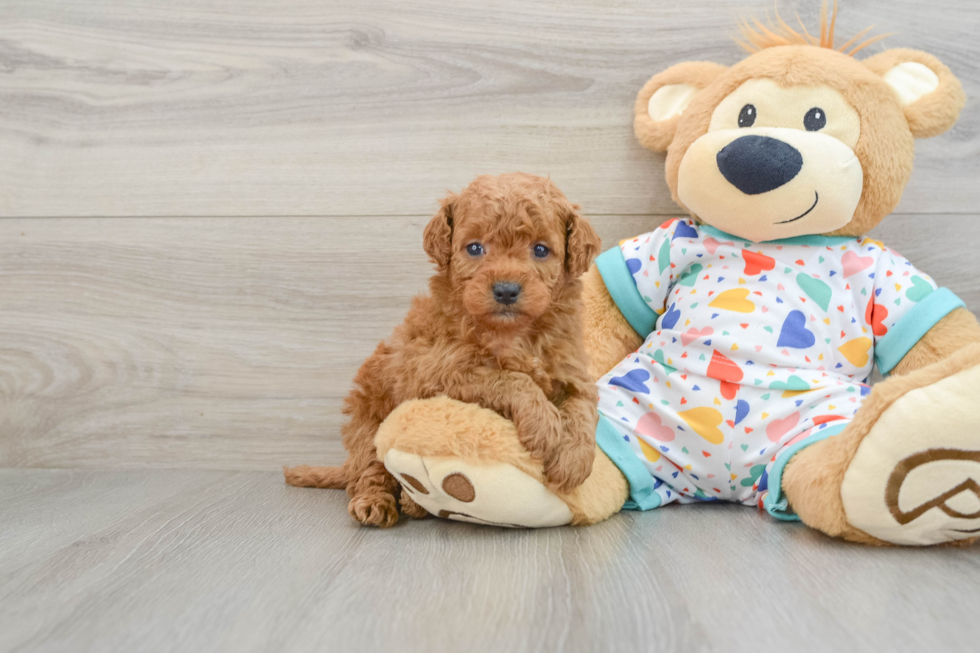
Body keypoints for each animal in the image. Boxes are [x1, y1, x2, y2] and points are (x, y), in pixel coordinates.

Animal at [284, 172, 600, 524]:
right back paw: (376, 503)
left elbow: (583, 409)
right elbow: (510, 379)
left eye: (541, 250)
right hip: (368, 427)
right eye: (475, 248)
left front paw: (574, 460)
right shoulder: (440, 373)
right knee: (369, 470)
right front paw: (545, 426)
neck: (512, 333)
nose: (506, 290)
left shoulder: (574, 373)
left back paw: (413, 505)